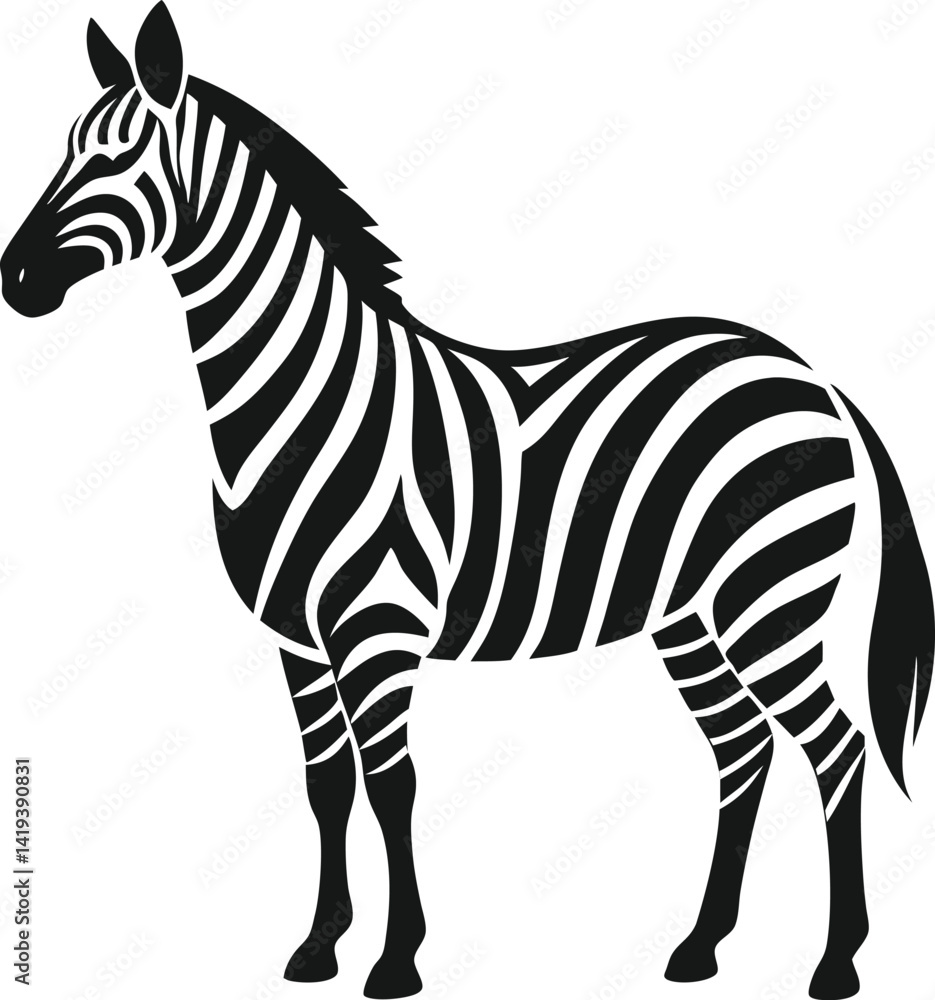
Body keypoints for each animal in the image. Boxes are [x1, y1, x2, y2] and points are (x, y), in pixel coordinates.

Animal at [2, 5, 932, 999]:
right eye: (65, 148)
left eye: (115, 158)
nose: (13, 281)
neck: (307, 399)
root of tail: (808, 372)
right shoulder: (297, 640)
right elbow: (325, 785)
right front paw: (317, 947)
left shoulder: (377, 629)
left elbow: (392, 784)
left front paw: (394, 960)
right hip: (691, 617)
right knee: (740, 750)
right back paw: (698, 947)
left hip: (769, 600)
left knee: (833, 748)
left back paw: (834, 963)